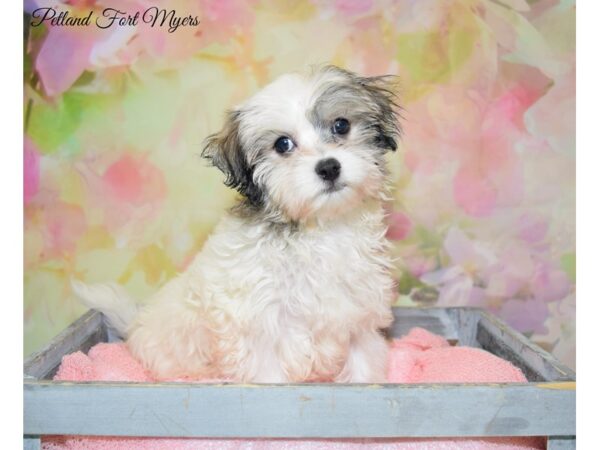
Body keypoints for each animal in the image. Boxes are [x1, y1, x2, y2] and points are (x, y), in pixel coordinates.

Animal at [74, 66, 404, 384]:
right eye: (283, 144)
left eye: (341, 125)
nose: (328, 167)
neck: (320, 228)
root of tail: (136, 324)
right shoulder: (258, 327)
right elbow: (268, 376)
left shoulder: (359, 319)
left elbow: (363, 365)